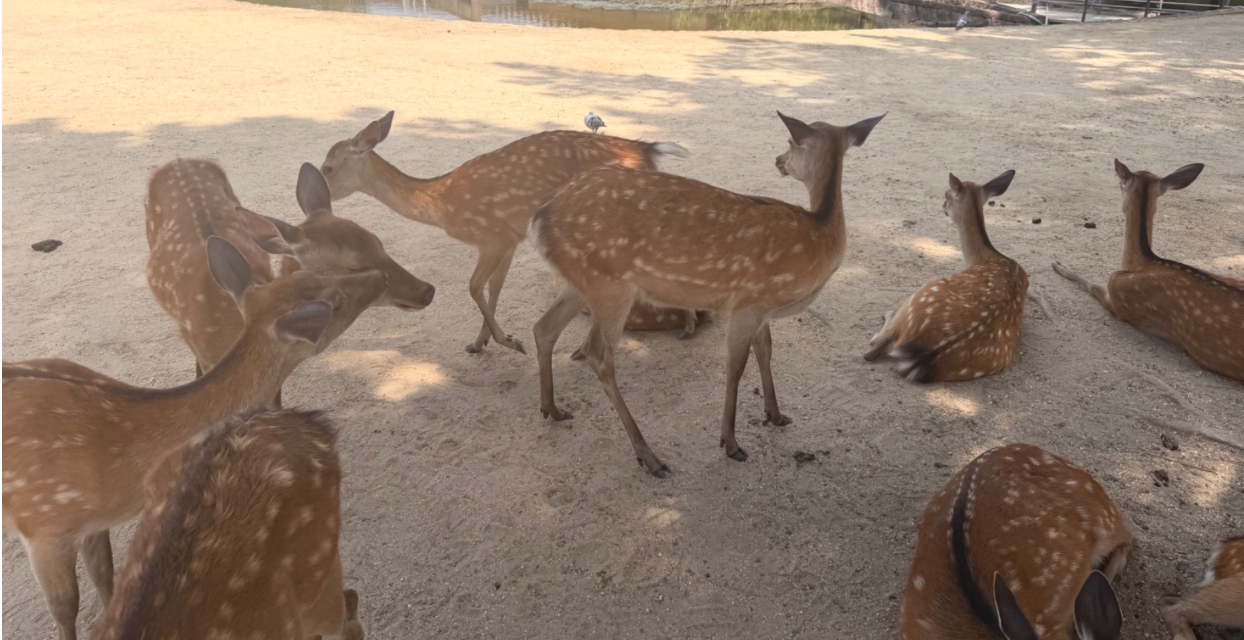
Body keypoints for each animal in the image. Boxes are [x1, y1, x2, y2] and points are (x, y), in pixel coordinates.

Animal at [318, 110, 698, 355]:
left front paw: (507, 342)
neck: (441, 205)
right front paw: (479, 342)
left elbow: (474, 287)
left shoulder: (493, 235)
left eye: (328, 167)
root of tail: (646, 149)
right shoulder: (510, 238)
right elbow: (494, 287)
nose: (317, 194)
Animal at [529, 110, 885, 477]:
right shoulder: (748, 303)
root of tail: (540, 218)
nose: (778, 160)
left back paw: (552, 409)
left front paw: (776, 414)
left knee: (544, 328)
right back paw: (649, 456)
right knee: (596, 353)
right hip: (610, 285)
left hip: (581, 281)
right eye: (790, 140)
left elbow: (766, 352)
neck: (819, 239)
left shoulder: (761, 307)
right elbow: (736, 366)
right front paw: (731, 443)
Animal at [864, 170, 1030, 382]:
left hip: (922, 292)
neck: (987, 257)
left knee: (875, 347)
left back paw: (886, 317)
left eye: (946, 195)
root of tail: (925, 356)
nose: (942, 206)